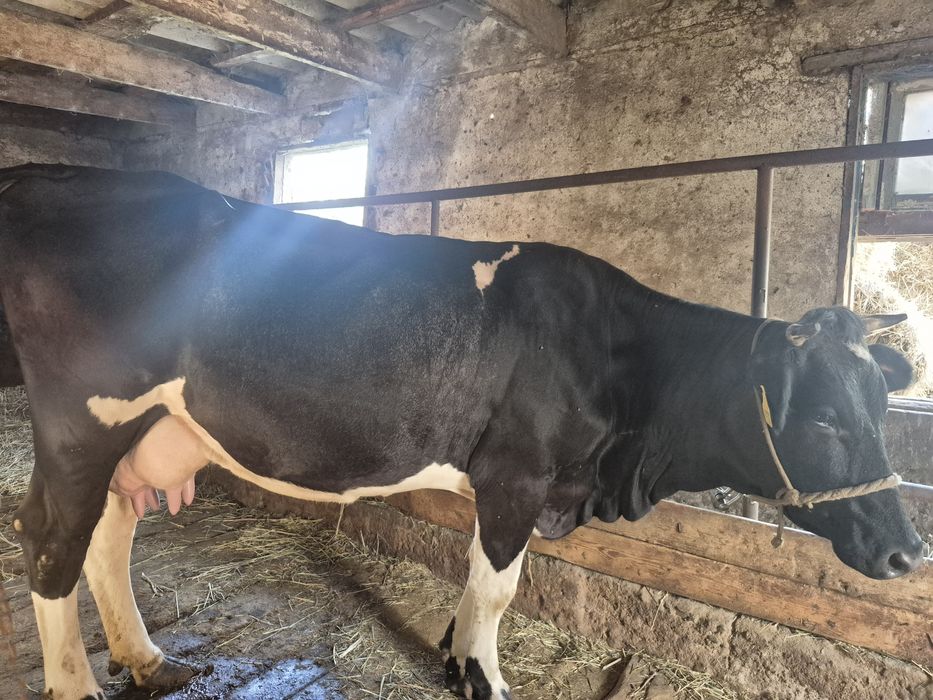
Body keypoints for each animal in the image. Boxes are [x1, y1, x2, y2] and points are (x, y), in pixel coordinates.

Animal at [0, 164, 923, 700]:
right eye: (824, 417)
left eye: (880, 406)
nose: (907, 554)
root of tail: (51, 174)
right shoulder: (516, 474)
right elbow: (497, 588)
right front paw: (482, 677)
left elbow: (480, 580)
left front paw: (454, 657)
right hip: (84, 419)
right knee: (50, 540)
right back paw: (78, 685)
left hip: (143, 430)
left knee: (109, 532)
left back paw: (146, 658)